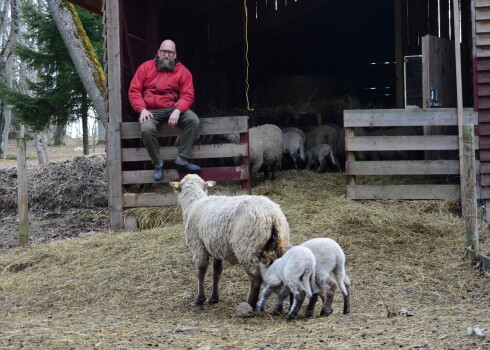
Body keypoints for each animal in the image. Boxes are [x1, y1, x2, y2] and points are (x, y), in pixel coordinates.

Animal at [169, 174, 290, 308]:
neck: (193, 204)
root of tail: (272, 215)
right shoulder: (216, 247)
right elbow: (216, 272)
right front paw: (214, 298)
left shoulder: (198, 246)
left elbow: (201, 272)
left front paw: (200, 299)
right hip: (281, 243)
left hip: (247, 248)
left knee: (255, 278)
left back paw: (250, 305)